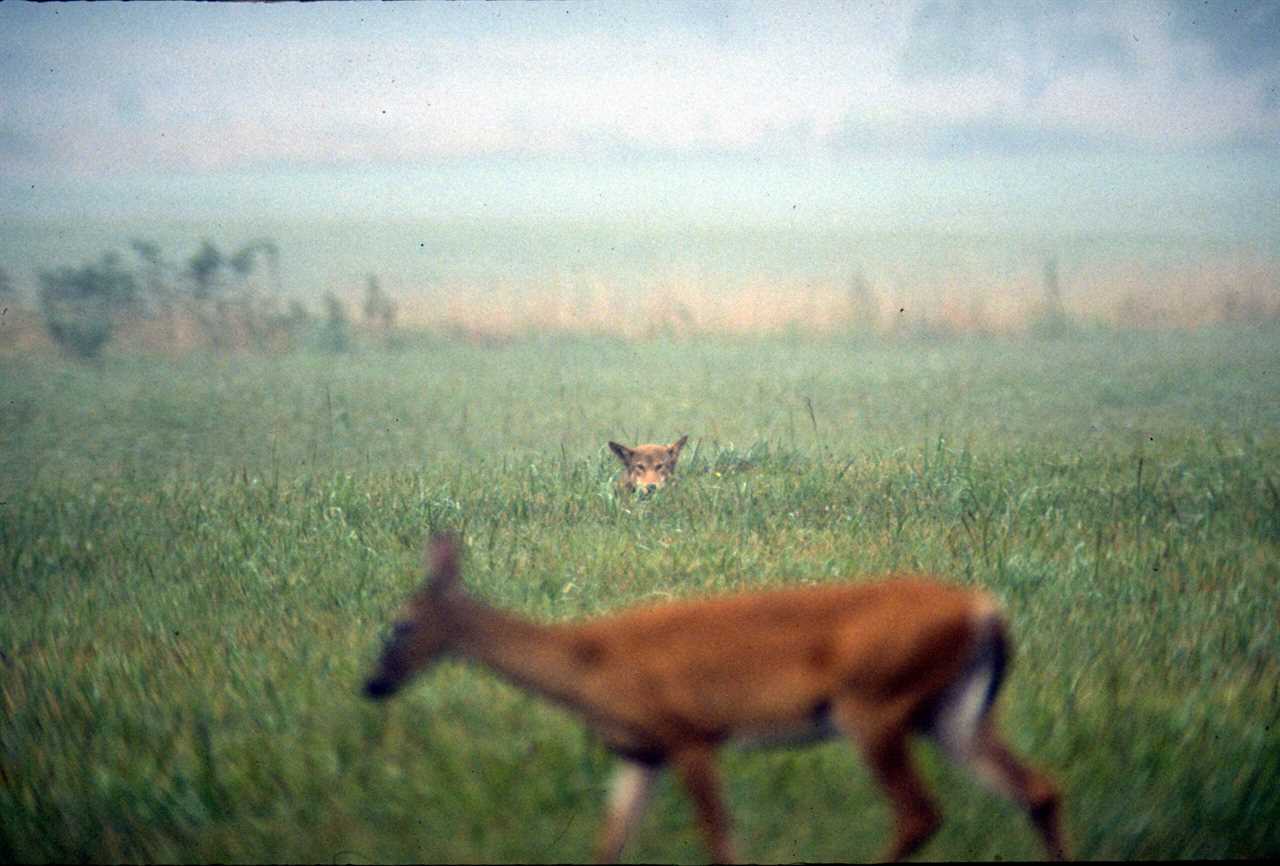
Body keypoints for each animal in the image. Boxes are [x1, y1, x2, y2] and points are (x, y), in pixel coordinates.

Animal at [363, 537, 1070, 859]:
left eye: (400, 625)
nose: (372, 684)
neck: (588, 663)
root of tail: (986, 610)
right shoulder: (639, 752)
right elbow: (609, 844)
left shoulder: (690, 735)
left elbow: (718, 838)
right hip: (952, 713)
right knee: (1038, 789)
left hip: (876, 705)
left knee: (920, 813)